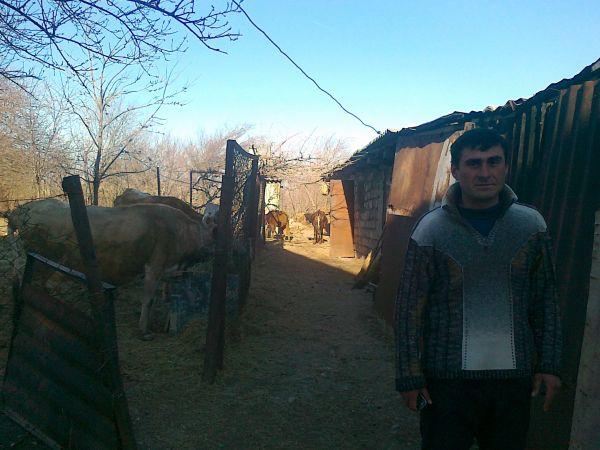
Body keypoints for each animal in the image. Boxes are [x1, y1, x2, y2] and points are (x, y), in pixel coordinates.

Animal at [8, 199, 215, 340]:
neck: (185, 233)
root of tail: (21, 210)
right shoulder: (154, 266)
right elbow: (148, 300)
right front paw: (144, 331)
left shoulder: (174, 272)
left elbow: (171, 301)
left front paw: (170, 329)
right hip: (43, 259)